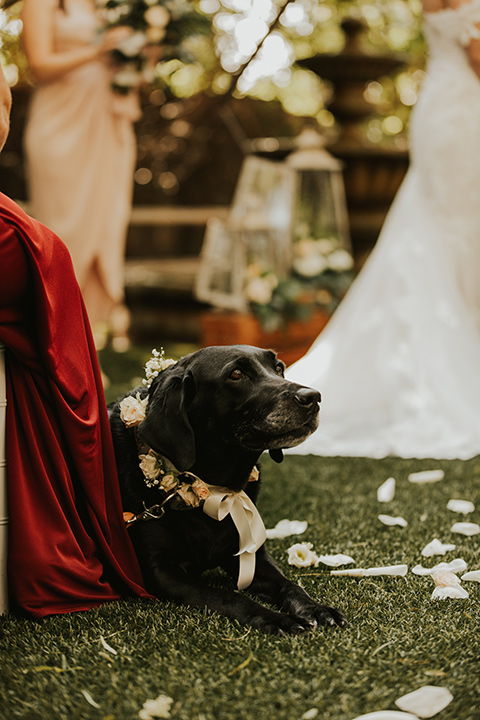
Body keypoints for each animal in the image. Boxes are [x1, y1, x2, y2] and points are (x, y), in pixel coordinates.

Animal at [109, 346, 344, 632]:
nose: (313, 397)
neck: (217, 489)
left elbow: (289, 584)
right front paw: (275, 618)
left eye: (278, 368)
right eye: (237, 373)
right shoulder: (158, 570)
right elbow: (227, 596)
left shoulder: (250, 554)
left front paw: (316, 608)